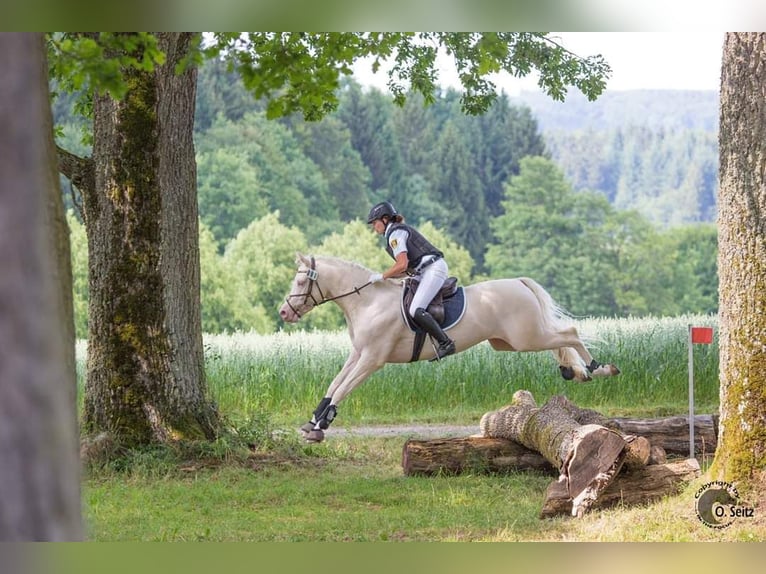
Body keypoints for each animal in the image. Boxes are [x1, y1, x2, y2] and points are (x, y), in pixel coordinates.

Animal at [280, 254, 620, 444]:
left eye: (302, 282)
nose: (284, 313)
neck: (368, 301)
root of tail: (519, 282)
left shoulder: (373, 359)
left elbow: (343, 389)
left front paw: (319, 427)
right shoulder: (358, 355)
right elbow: (334, 385)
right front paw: (313, 421)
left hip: (527, 336)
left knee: (570, 334)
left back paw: (599, 369)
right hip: (513, 341)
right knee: (560, 340)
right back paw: (574, 370)